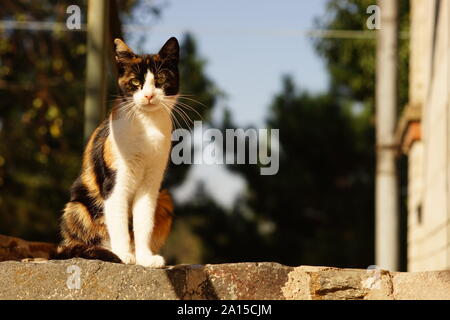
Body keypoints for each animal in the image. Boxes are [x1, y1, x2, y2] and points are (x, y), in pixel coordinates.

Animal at [57, 37, 180, 268]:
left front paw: (145, 258)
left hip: (165, 197)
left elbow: (143, 221)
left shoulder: (151, 183)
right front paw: (123, 255)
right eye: (135, 82)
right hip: (77, 207)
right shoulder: (115, 181)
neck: (146, 126)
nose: (149, 95)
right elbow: (119, 221)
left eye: (160, 79)